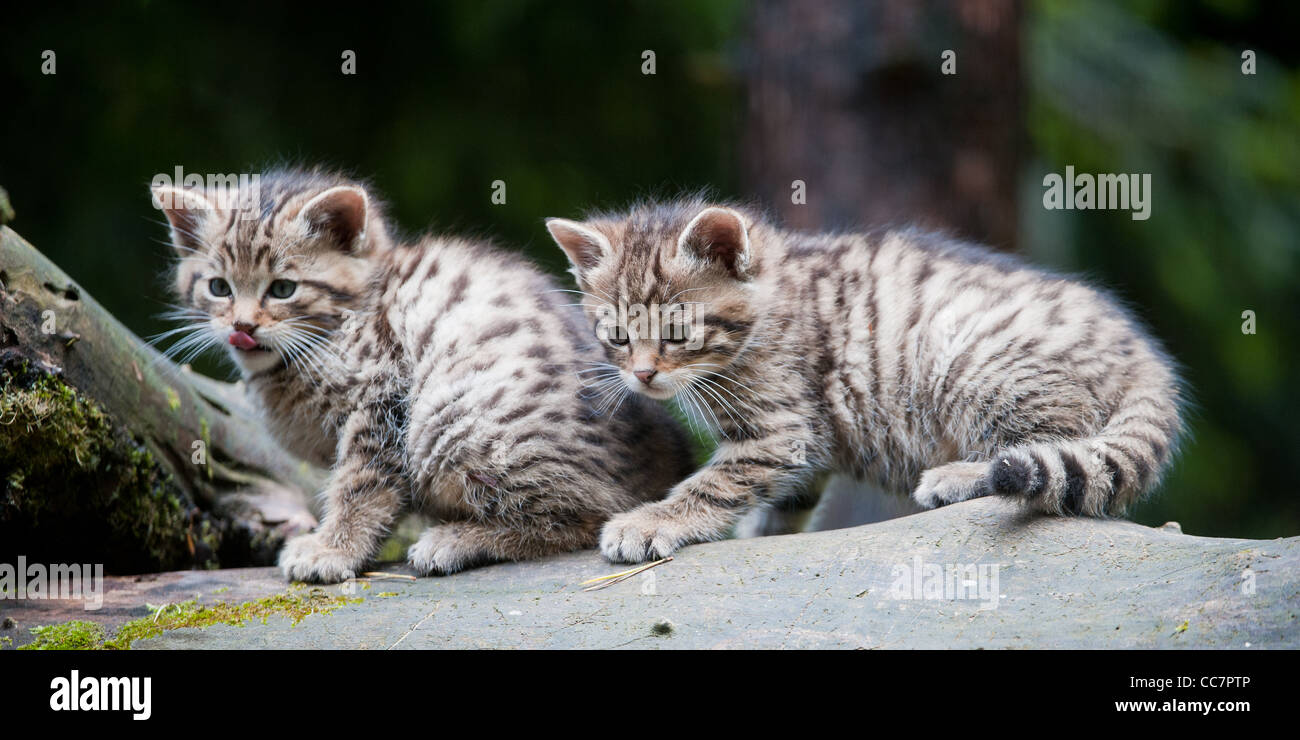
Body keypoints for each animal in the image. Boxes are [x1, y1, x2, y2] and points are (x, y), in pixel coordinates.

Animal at [156, 170, 696, 580]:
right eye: (218, 287)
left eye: (284, 288)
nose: (242, 327)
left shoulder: (382, 392)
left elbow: (360, 483)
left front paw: (333, 549)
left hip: (451, 413)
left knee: (596, 511)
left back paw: (459, 540)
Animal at [543, 196, 1185, 559]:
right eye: (617, 335)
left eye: (677, 333)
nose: (643, 375)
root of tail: (1145, 357)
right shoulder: (807, 443)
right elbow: (787, 497)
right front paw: (761, 534)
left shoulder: (781, 428)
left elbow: (716, 482)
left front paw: (651, 521)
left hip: (974, 364)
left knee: (1048, 448)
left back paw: (959, 477)